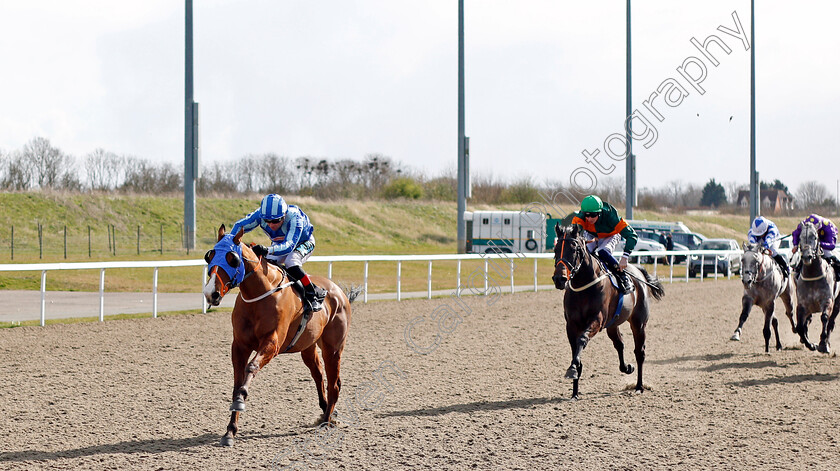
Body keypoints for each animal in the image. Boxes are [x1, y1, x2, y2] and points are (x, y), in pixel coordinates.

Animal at [207, 225, 358, 446]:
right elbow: (237, 381)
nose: (212, 293)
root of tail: (338, 291)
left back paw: (327, 421)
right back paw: (325, 412)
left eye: (231, 258)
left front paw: (241, 401)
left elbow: (250, 369)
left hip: (333, 348)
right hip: (308, 346)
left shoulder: (272, 343)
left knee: (334, 383)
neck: (259, 296)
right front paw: (230, 431)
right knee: (318, 375)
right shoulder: (240, 345)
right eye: (209, 257)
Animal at [552, 223, 664, 400]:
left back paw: (639, 386)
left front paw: (572, 370)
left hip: (639, 323)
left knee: (640, 353)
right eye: (556, 249)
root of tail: (638, 271)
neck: (584, 286)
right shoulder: (571, 325)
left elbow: (582, 340)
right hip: (612, 324)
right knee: (619, 344)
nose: (559, 279)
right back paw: (627, 367)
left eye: (574, 249)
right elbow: (576, 351)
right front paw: (574, 391)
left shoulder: (597, 321)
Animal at [796, 223, 840, 352]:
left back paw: (827, 343)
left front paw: (823, 344)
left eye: (815, 237)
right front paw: (810, 345)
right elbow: (799, 327)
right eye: (800, 238)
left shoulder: (827, 301)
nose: (807, 256)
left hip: (837, 302)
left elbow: (825, 318)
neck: (812, 275)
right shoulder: (802, 304)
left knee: (831, 322)